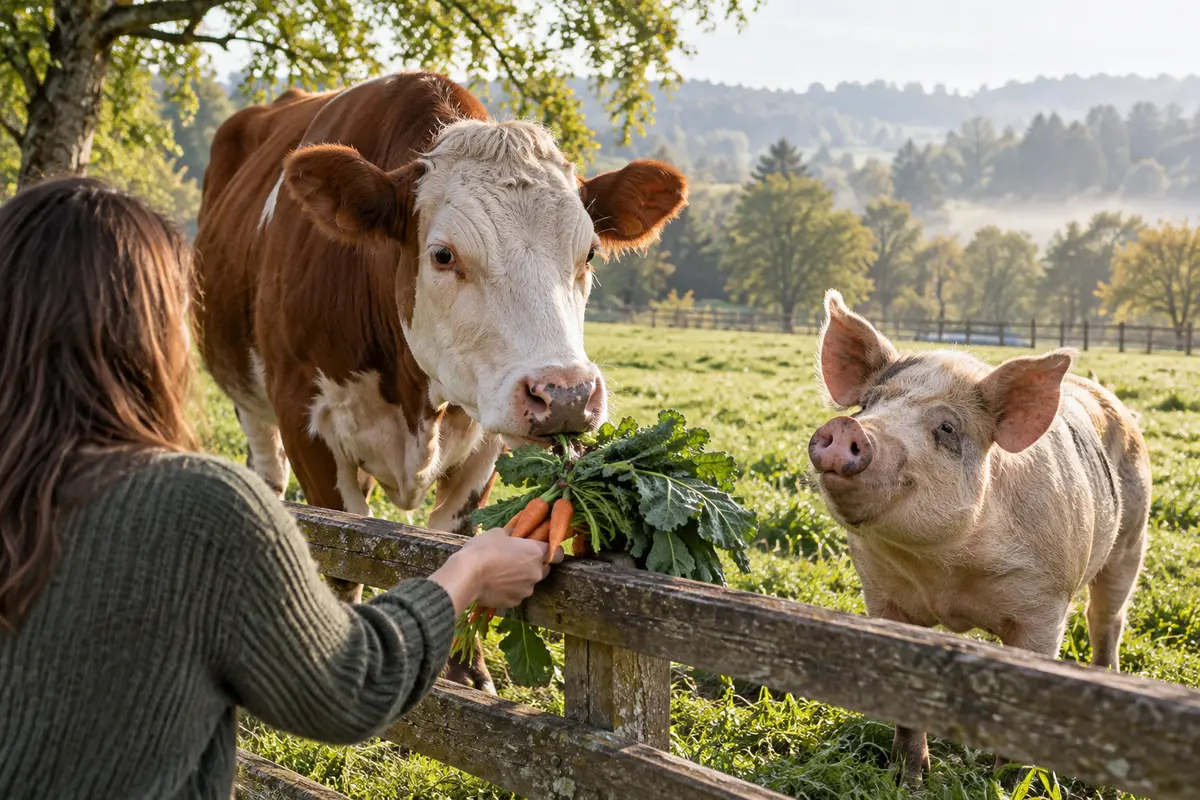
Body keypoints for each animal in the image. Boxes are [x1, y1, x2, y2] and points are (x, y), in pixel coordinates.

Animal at [192, 71, 688, 693]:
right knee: (268, 474)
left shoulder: (486, 440)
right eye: (443, 255)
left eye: (590, 254)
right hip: (250, 401)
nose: (567, 396)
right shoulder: (303, 416)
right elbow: (343, 557)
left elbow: (453, 540)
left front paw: (466, 672)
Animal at [807, 289, 1152, 786]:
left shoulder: (1046, 603)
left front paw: (1009, 781)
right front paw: (908, 778)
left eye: (947, 428)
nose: (849, 428)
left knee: (1106, 617)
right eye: (868, 405)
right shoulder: (880, 593)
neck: (945, 569)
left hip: (1132, 539)